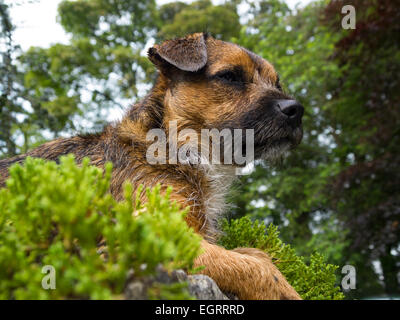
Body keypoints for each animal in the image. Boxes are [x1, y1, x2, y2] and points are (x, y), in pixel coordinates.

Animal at [0, 33, 304, 300]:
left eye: (277, 83)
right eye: (230, 76)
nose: (297, 110)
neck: (177, 147)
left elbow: (256, 254)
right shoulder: (146, 237)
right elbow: (256, 267)